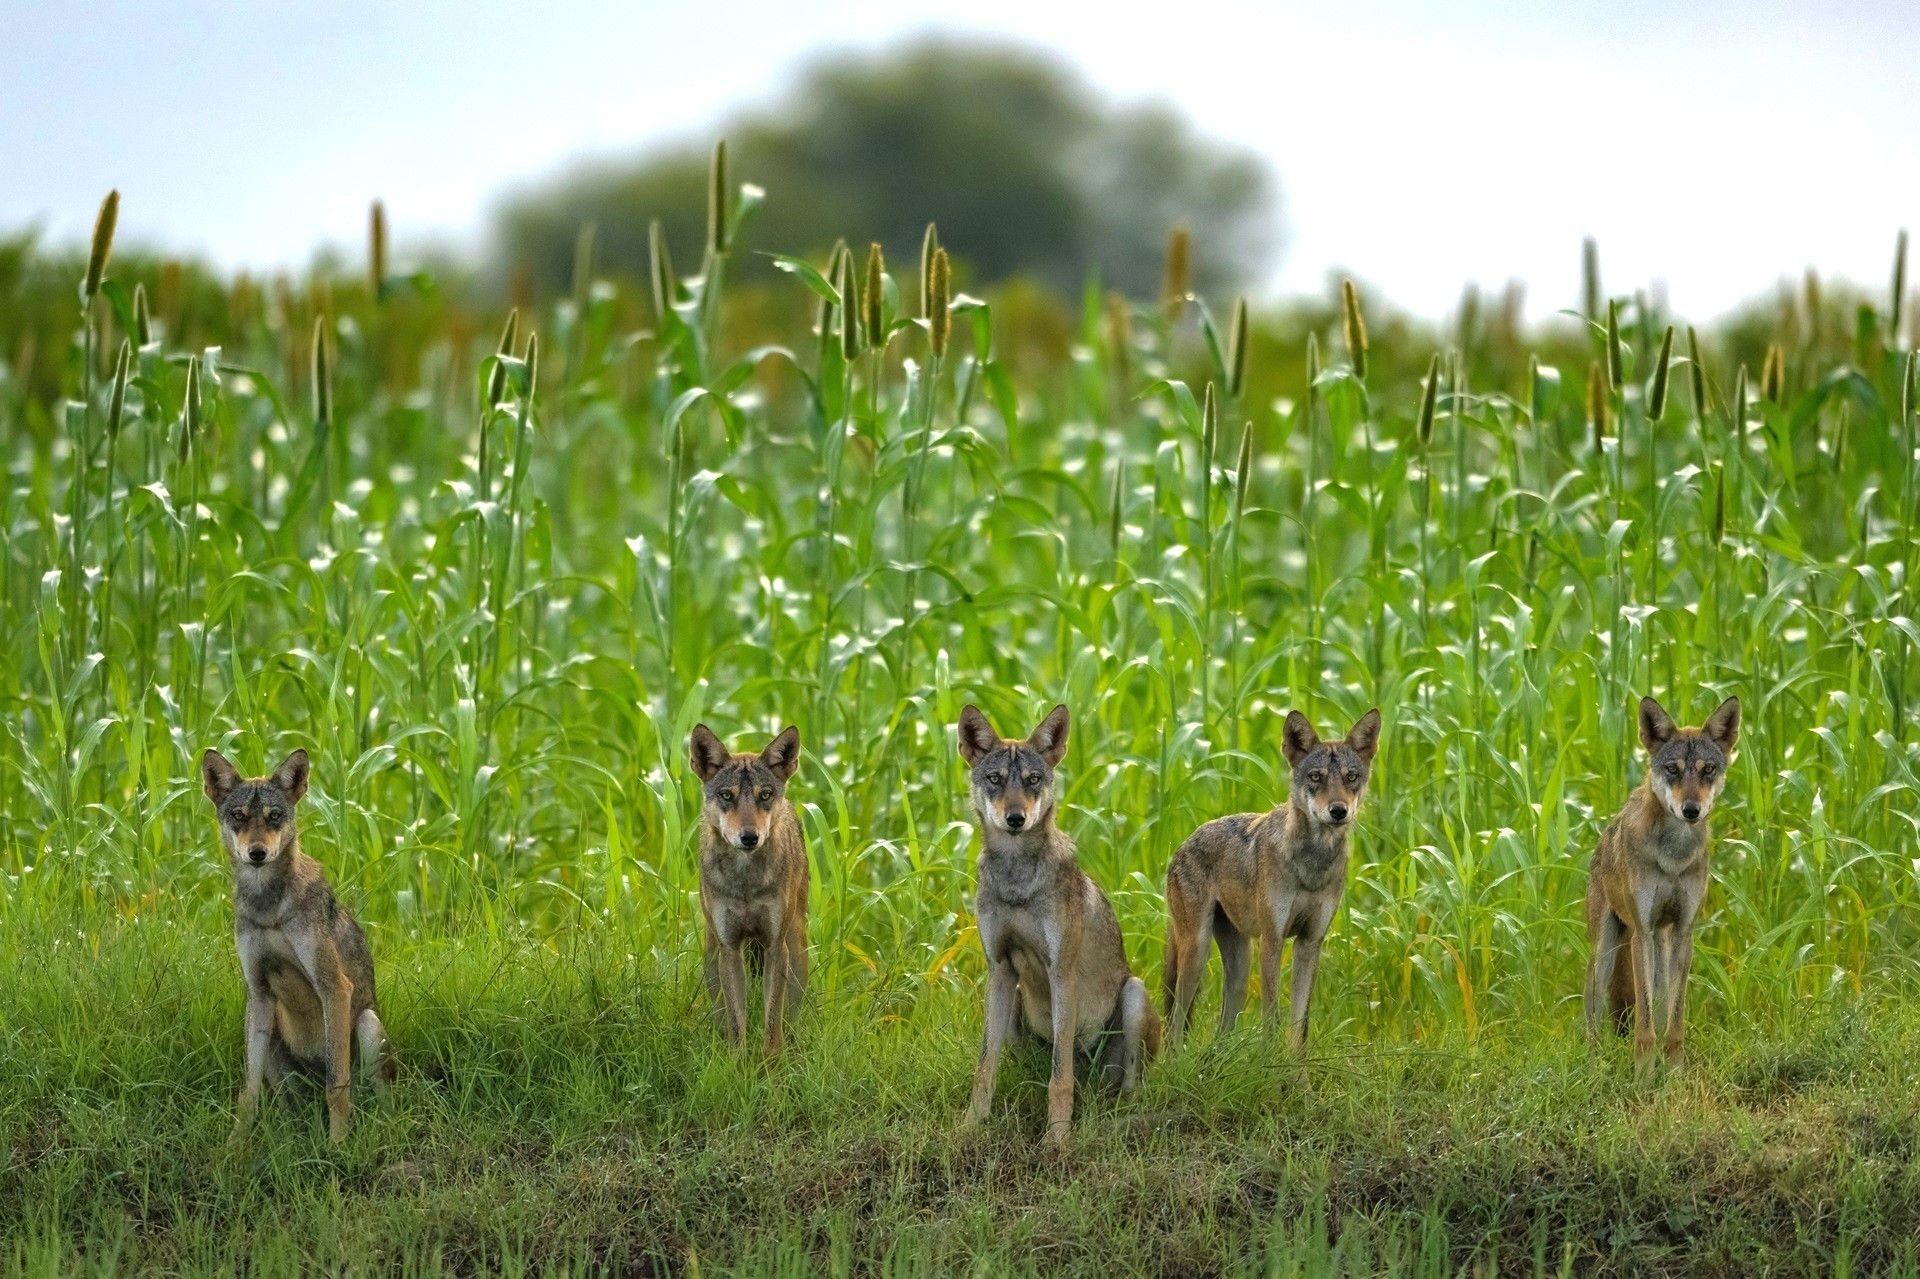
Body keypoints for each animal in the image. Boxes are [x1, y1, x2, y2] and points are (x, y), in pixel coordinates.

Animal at [200, 741, 391, 1136]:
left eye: (274, 816)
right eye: (239, 816)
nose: (257, 853)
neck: (269, 909)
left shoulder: (336, 988)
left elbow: (337, 1085)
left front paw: (338, 1143)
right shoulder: (258, 992)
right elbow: (248, 1093)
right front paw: (235, 1145)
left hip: (368, 1024)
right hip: (271, 1030)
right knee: (288, 1104)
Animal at [1152, 706, 1382, 1044]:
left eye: (1351, 777)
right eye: (1316, 777)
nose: (1338, 811)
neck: (1312, 863)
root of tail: (1183, 843)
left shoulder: (1310, 942)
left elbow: (1299, 1027)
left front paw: (1295, 1062)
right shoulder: (1272, 940)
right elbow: (1272, 1019)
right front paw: (1271, 1059)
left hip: (1240, 968)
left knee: (1220, 1035)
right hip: (1197, 951)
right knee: (1174, 1024)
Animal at [1589, 691, 1743, 1067]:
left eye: (1708, 770)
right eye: (1673, 769)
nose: (1691, 810)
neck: (1674, 857)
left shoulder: (1685, 931)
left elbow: (1674, 1024)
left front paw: (1673, 1074)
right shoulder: (1641, 932)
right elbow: (1644, 1029)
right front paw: (1642, 1075)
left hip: (1661, 947)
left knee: (1660, 1009)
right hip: (1606, 954)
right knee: (1593, 1022)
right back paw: (1594, 1065)